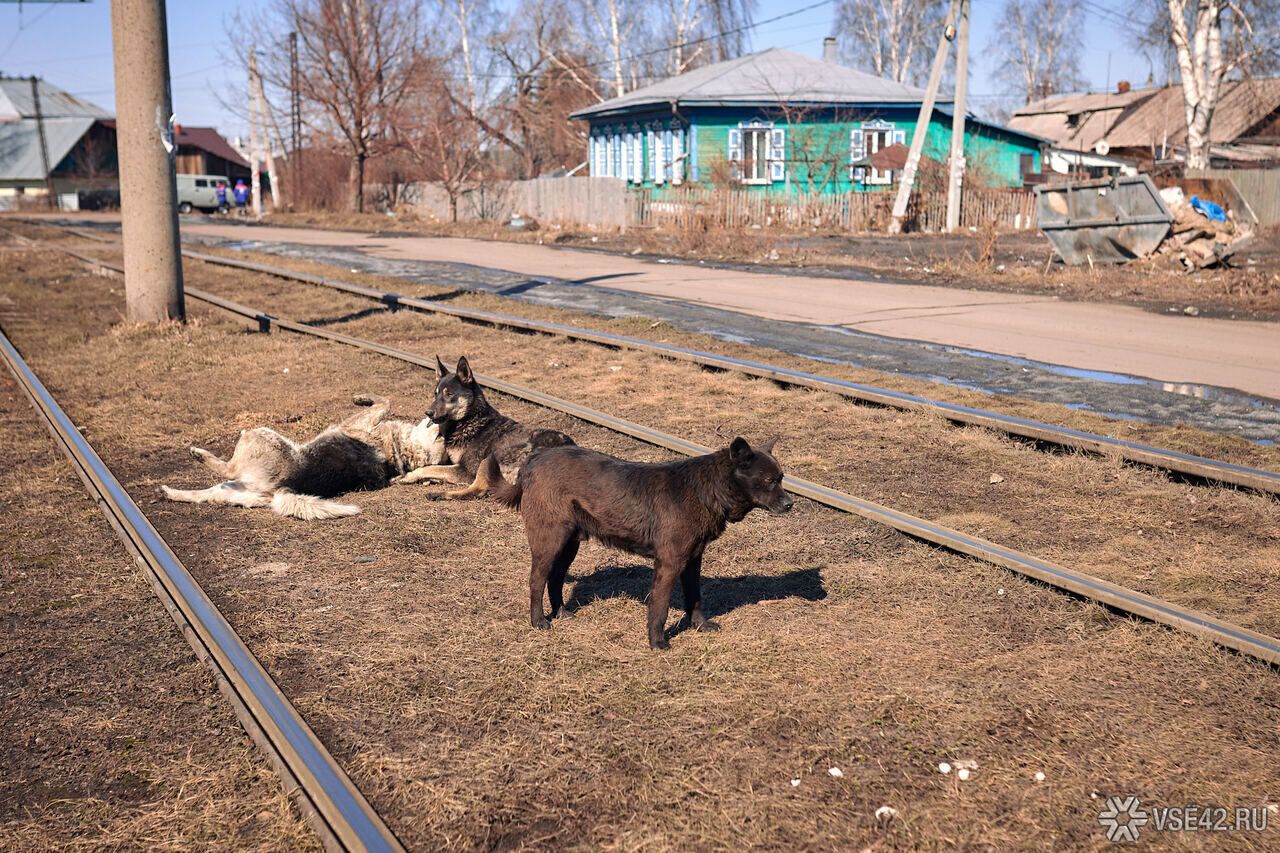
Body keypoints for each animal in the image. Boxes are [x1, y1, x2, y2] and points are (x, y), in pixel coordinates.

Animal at [396, 353, 578, 499]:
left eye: (449, 394)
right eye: (436, 394)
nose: (428, 412)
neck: (470, 419)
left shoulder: (466, 470)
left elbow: (430, 468)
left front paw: (409, 476)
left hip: (491, 458)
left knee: (477, 490)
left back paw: (439, 494)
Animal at [481, 435, 788, 648]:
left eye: (782, 478)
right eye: (769, 480)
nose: (790, 504)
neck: (707, 490)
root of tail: (534, 458)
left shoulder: (692, 560)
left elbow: (696, 598)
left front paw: (700, 626)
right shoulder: (669, 563)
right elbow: (659, 608)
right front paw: (657, 642)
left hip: (569, 543)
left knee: (554, 578)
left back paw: (561, 613)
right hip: (550, 541)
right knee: (536, 580)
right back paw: (538, 621)